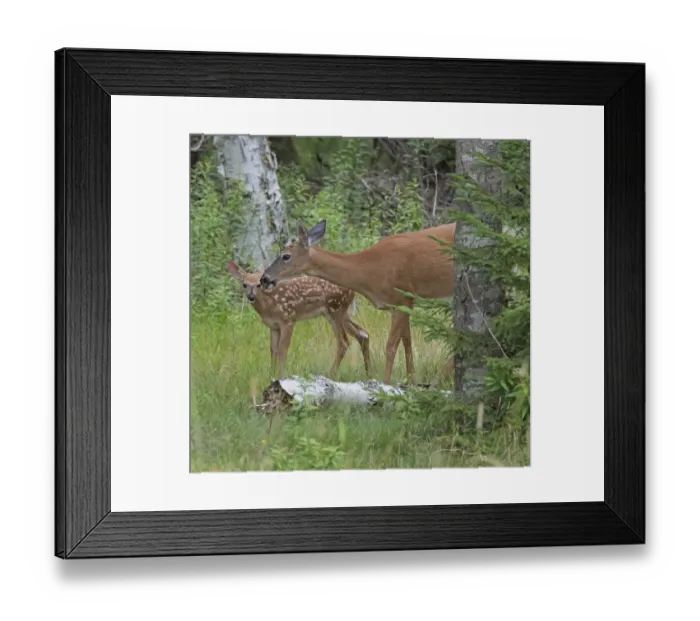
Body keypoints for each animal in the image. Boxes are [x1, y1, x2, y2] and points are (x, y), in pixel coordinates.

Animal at [227, 260, 372, 379]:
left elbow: (282, 349)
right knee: (363, 333)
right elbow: (273, 350)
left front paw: (280, 376)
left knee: (343, 342)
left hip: (335, 308)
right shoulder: (273, 326)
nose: (251, 297)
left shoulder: (288, 319)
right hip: (340, 312)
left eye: (258, 284)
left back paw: (330, 374)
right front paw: (271, 376)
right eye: (244, 284)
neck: (269, 306)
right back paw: (369, 372)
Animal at [259, 220, 456, 385]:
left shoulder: (403, 297)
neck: (370, 270)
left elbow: (391, 346)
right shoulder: (398, 304)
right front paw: (410, 381)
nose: (264, 278)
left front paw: (386, 384)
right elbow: (407, 341)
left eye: (285, 256)